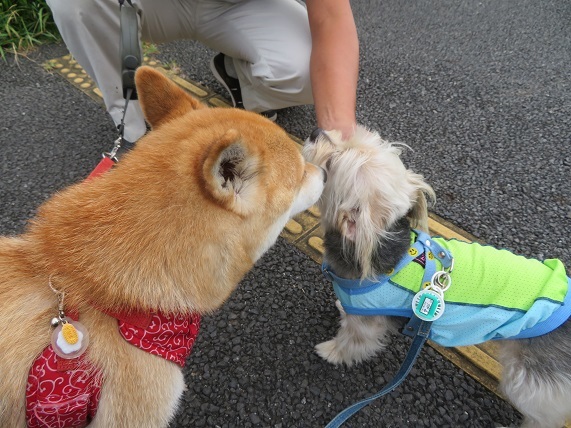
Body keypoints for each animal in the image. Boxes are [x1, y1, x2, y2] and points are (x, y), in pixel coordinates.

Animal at [306, 126, 571, 428]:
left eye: (330, 164)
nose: (315, 132)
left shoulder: (365, 323)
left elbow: (353, 342)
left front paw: (331, 352)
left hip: (532, 380)